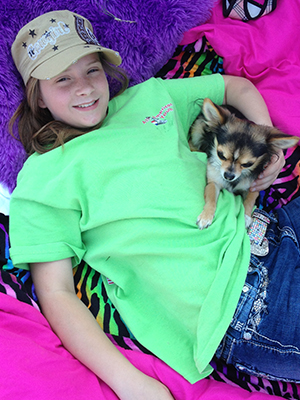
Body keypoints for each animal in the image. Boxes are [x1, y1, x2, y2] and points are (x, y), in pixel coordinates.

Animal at [189, 98, 298, 230]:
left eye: (248, 164)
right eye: (221, 155)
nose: (228, 176)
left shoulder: (254, 187)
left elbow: (249, 201)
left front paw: (245, 217)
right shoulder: (214, 182)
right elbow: (211, 198)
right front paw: (206, 216)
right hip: (198, 129)